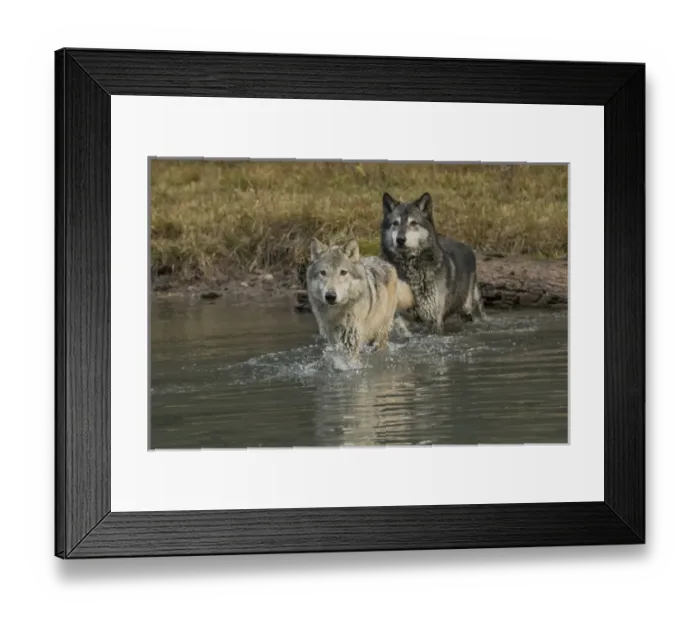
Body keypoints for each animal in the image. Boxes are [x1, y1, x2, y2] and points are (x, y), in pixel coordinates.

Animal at [380, 191, 485, 333]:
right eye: (395, 223)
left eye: (413, 223)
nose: (400, 239)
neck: (411, 268)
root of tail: (468, 248)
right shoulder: (401, 318)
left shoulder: (434, 320)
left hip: (468, 310)